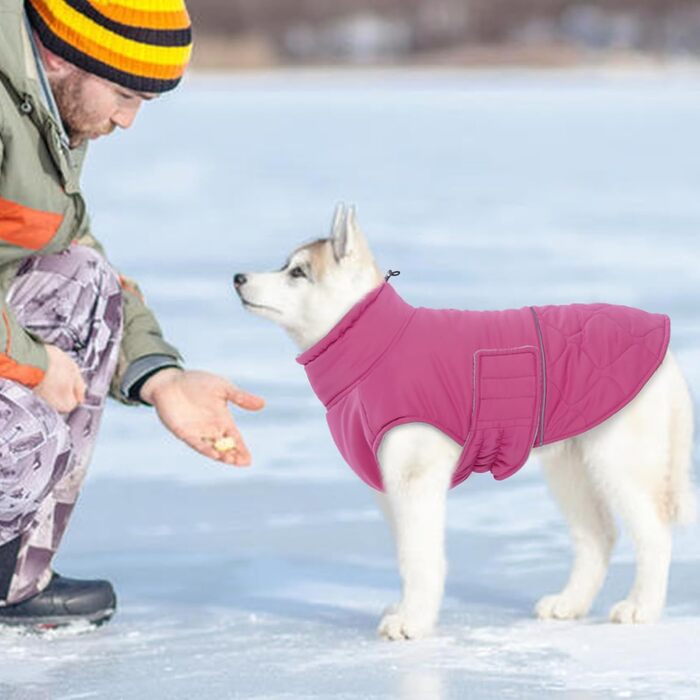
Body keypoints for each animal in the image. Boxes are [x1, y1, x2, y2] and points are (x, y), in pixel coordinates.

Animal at [234, 204, 696, 640]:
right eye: (285, 265)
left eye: (298, 272)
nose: (239, 277)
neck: (374, 346)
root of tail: (667, 351)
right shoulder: (389, 486)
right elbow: (406, 552)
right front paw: (405, 610)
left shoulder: (414, 479)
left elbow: (418, 557)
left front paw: (412, 623)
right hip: (570, 464)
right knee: (598, 534)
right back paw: (569, 603)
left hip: (619, 460)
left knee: (654, 534)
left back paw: (641, 608)